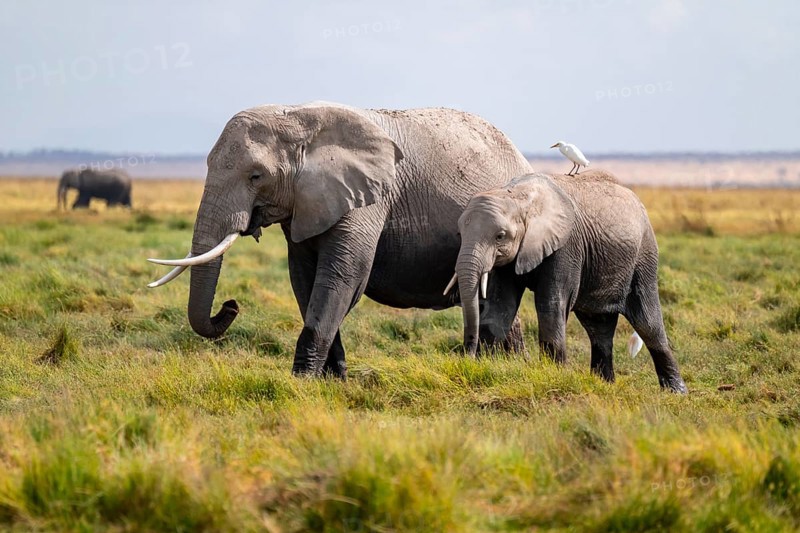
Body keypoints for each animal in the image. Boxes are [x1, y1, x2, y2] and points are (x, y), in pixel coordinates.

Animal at [147, 102, 535, 378]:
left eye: (256, 176)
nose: (230, 306)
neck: (298, 117)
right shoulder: (305, 203)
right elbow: (303, 279)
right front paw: (332, 380)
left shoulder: (369, 197)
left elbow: (343, 276)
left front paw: (302, 381)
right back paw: (505, 365)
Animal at [445, 169, 687, 392]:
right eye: (459, 234)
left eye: (500, 236)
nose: (467, 356)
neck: (519, 197)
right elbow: (500, 305)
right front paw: (484, 365)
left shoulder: (566, 246)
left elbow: (551, 303)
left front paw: (553, 374)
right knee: (598, 327)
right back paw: (604, 385)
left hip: (643, 257)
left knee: (648, 324)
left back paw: (676, 392)